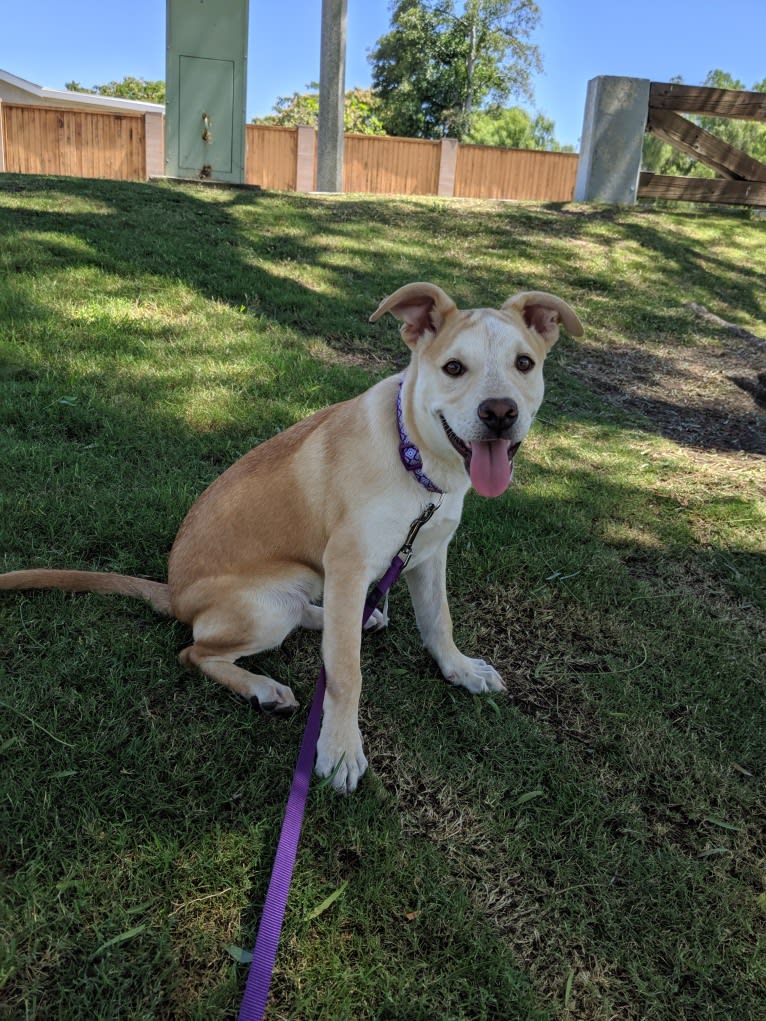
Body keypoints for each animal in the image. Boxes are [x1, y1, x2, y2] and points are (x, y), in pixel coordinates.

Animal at [0, 283, 580, 792]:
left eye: (524, 364)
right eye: (453, 368)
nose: (500, 413)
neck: (417, 461)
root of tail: (174, 593)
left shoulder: (428, 553)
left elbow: (439, 622)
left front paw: (460, 670)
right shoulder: (348, 564)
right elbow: (345, 672)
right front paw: (341, 749)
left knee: (312, 618)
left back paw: (357, 619)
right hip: (268, 606)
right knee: (195, 652)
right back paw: (264, 688)